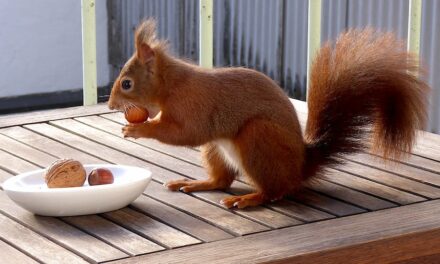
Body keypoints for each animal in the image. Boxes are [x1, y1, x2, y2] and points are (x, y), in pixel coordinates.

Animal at [108, 19, 428, 208]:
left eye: (127, 84)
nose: (111, 105)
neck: (172, 85)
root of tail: (300, 166)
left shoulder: (193, 104)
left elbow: (185, 132)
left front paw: (139, 129)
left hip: (258, 138)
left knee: (276, 191)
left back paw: (250, 198)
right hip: (216, 149)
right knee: (222, 181)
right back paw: (194, 183)